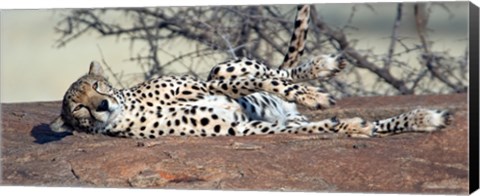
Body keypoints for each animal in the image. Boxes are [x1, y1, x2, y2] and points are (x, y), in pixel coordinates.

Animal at [50, 4, 452, 139]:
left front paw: (314, 93)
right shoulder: (241, 127)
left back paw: (322, 68)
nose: (102, 106)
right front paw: (351, 125)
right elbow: (321, 126)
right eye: (79, 109)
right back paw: (423, 119)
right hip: (283, 116)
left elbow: (259, 81)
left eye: (98, 86)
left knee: (276, 71)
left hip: (222, 65)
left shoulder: (205, 84)